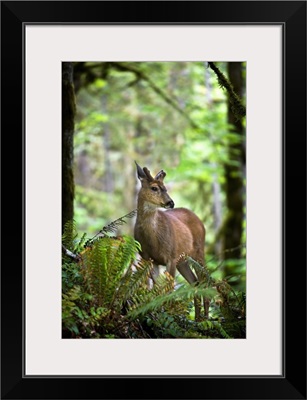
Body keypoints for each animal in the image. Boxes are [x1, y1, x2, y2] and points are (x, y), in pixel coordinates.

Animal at [135, 161, 209, 320]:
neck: (153, 240)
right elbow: (157, 288)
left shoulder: (171, 256)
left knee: (205, 280)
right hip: (183, 260)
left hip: (198, 251)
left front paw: (167, 313)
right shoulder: (149, 258)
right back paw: (198, 318)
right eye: (154, 188)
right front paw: (158, 313)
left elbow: (168, 289)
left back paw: (206, 318)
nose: (171, 203)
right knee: (195, 282)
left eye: (165, 188)